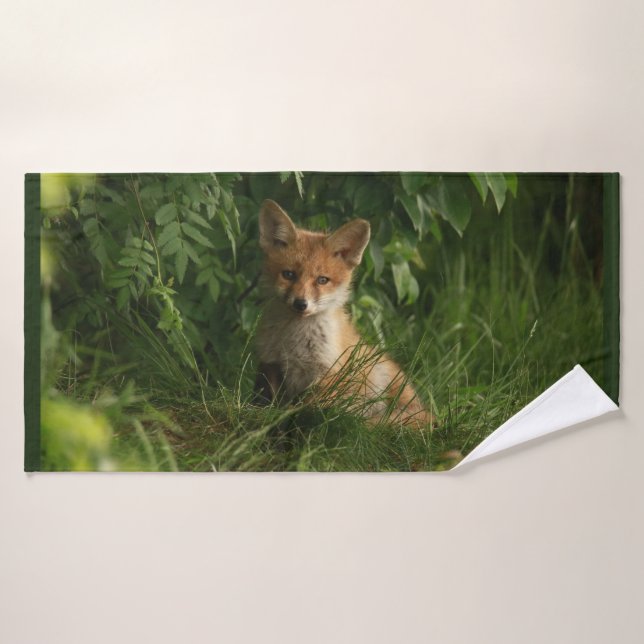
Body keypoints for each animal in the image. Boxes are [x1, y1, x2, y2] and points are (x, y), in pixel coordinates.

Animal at [254, 199, 432, 430]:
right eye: (288, 274)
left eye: (322, 280)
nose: (301, 304)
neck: (295, 342)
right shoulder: (272, 364)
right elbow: (270, 403)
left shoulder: (328, 373)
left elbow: (309, 409)